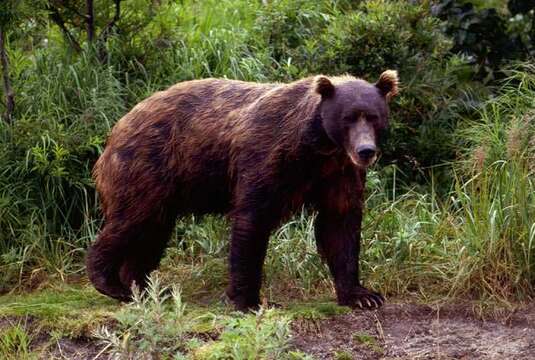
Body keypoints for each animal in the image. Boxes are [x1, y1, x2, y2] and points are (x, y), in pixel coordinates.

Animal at [87, 69, 398, 310]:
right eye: (348, 118)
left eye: (373, 117)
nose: (365, 151)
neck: (317, 147)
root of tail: (120, 124)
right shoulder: (268, 157)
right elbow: (252, 220)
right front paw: (249, 300)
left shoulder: (338, 173)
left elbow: (340, 225)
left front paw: (363, 295)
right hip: (149, 166)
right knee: (133, 218)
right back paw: (110, 282)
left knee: (153, 232)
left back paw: (143, 287)